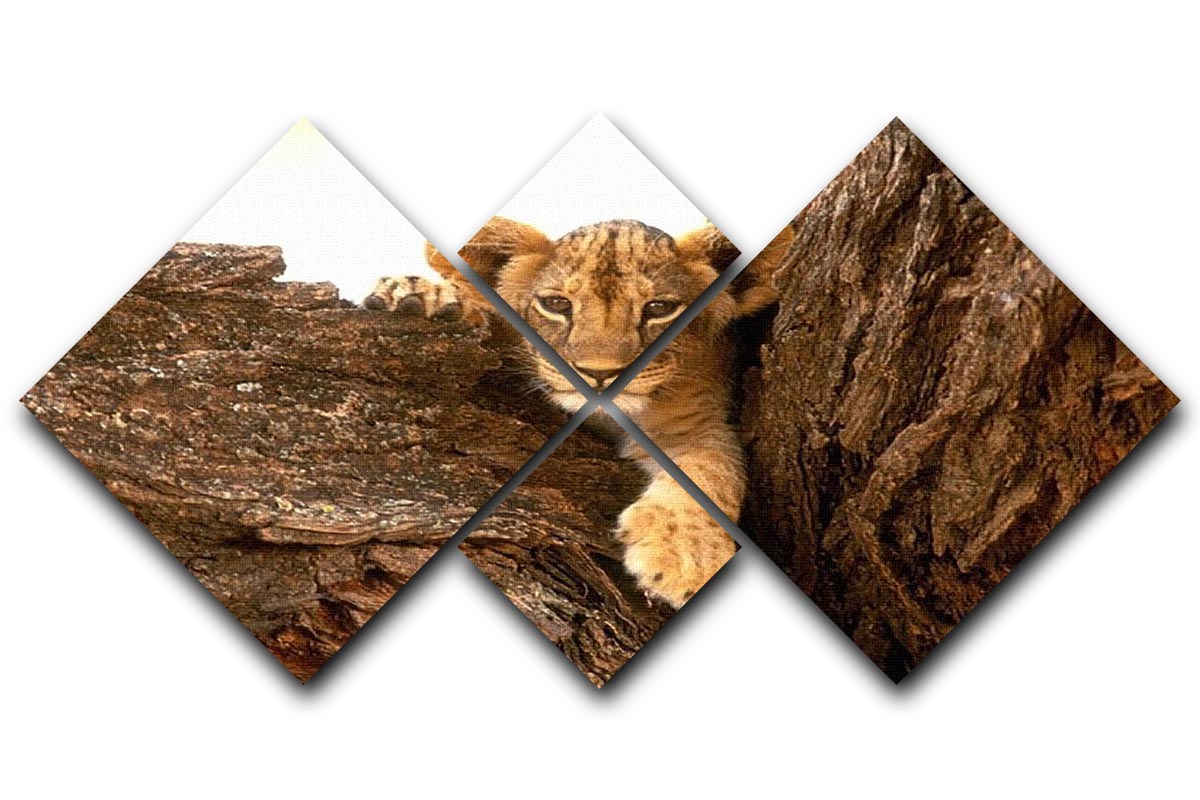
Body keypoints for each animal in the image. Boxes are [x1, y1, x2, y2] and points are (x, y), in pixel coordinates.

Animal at [364, 217, 783, 607]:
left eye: (659, 309)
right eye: (556, 304)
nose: (598, 373)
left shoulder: (698, 422)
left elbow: (711, 468)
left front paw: (683, 558)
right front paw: (426, 298)